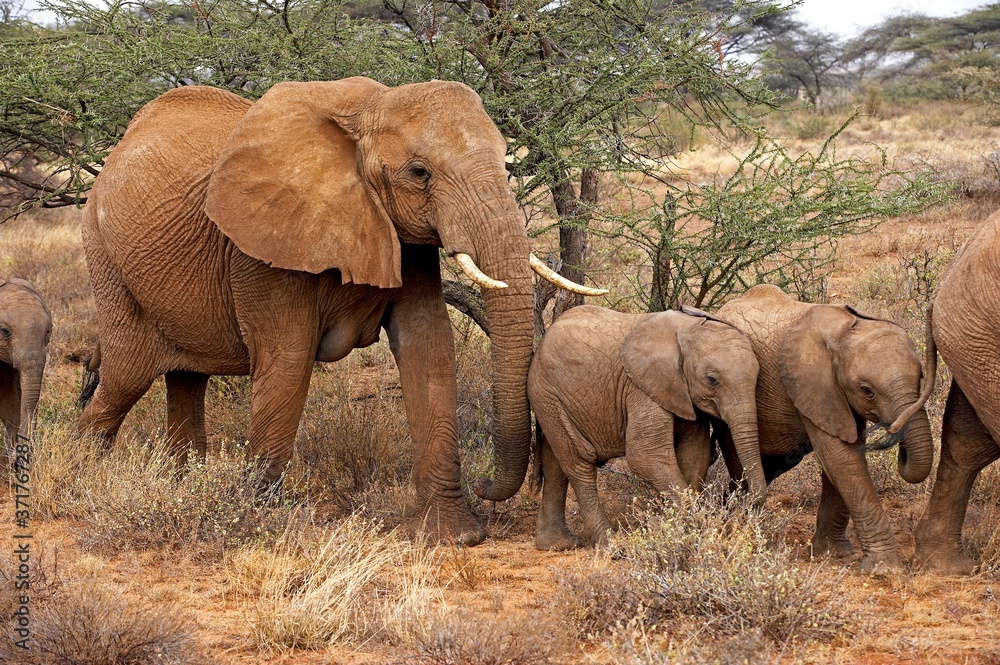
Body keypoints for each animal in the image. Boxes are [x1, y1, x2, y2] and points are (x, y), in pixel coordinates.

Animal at [78, 79, 596, 544]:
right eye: (419, 173)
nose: (485, 483)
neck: (368, 110)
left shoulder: (404, 239)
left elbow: (427, 346)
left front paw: (453, 538)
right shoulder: (263, 248)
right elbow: (287, 362)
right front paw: (257, 523)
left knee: (186, 380)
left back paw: (179, 485)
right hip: (105, 257)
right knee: (125, 377)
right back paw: (83, 476)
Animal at [528, 304, 760, 548]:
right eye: (712, 380)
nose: (748, 507)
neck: (686, 330)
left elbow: (695, 455)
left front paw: (671, 527)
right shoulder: (641, 388)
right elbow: (644, 456)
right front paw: (691, 530)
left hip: (551, 402)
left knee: (555, 464)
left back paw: (557, 544)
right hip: (547, 396)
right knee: (579, 464)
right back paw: (611, 546)